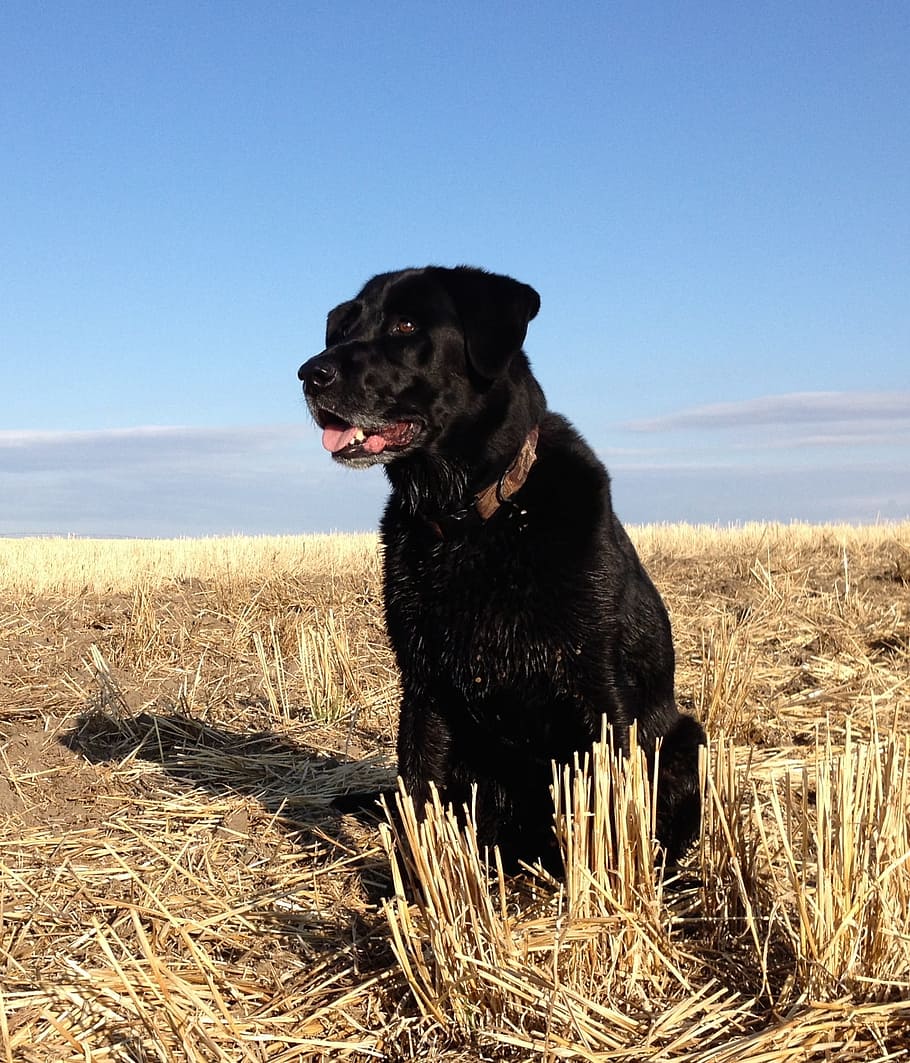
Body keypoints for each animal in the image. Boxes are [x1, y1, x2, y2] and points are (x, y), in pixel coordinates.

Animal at [297, 265, 705, 871]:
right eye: (344, 329)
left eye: (406, 325)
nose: (309, 374)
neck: (469, 518)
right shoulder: (424, 687)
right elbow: (419, 799)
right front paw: (420, 882)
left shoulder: (599, 693)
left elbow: (609, 812)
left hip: (685, 737)